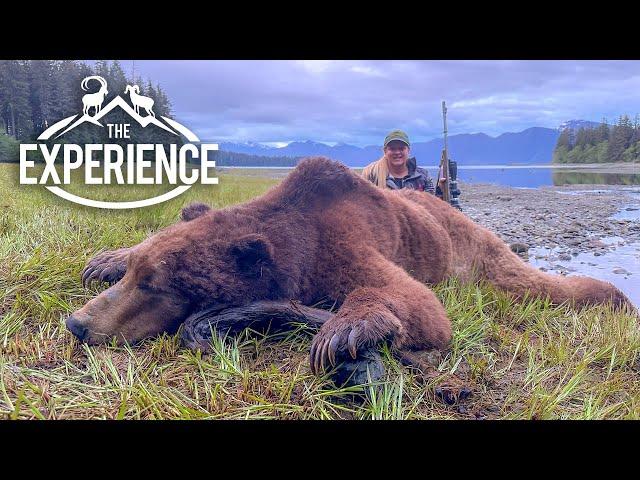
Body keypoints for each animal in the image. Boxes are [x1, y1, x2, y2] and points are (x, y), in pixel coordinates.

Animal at [70, 158, 636, 376]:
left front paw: (344, 329)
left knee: (533, 282)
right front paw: (104, 260)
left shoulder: (344, 244)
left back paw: (614, 298)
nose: (77, 323)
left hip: (473, 250)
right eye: (137, 273)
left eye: (156, 285)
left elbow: (418, 304)